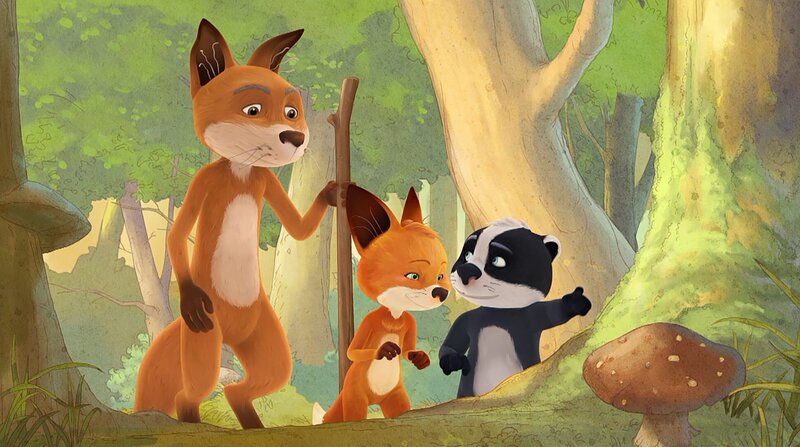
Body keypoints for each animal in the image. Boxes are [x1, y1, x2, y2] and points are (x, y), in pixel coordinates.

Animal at [133, 19, 340, 429]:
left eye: (291, 112)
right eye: (253, 109)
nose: (295, 138)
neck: (242, 170)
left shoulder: (266, 180)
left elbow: (298, 229)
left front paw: (332, 192)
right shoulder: (204, 181)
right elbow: (178, 234)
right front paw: (190, 296)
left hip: (263, 337)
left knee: (252, 383)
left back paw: (255, 426)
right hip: (205, 340)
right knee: (190, 392)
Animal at [312, 185, 451, 424]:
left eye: (440, 276)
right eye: (413, 276)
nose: (441, 292)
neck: (394, 316)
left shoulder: (409, 322)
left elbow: (408, 350)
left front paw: (420, 358)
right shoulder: (369, 322)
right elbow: (352, 352)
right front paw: (385, 349)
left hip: (395, 397)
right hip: (355, 397)